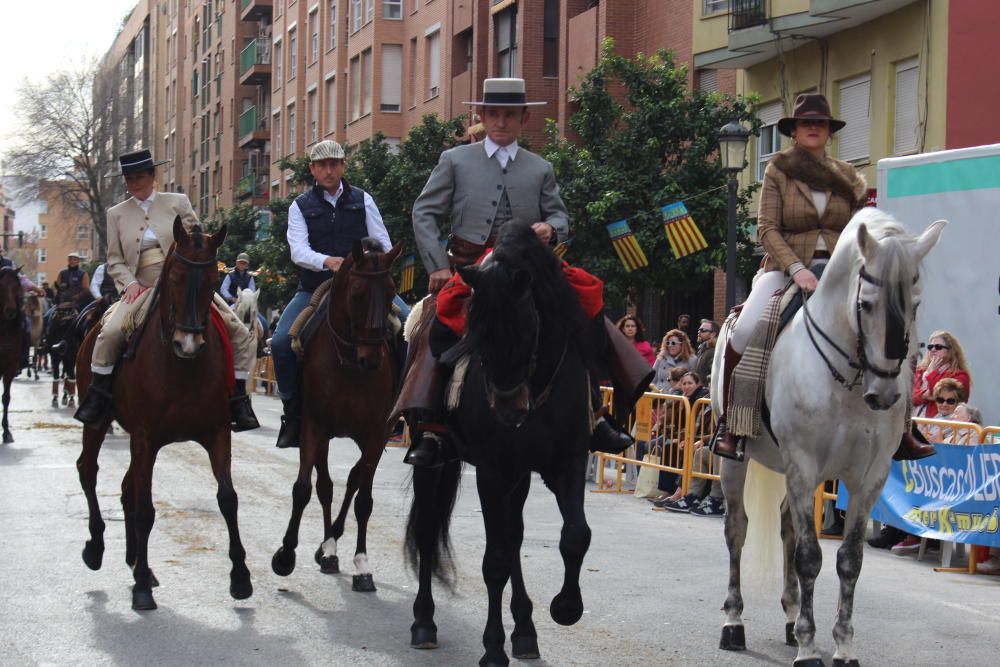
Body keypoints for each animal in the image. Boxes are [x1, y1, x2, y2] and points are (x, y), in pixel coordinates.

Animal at [74, 219, 252, 612]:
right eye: (175, 276)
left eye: (214, 281)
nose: (189, 343)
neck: (181, 366)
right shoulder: (146, 439)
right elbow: (146, 510)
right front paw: (141, 586)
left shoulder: (217, 433)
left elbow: (228, 499)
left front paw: (240, 577)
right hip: (99, 423)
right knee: (88, 471)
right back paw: (97, 548)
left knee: (127, 488)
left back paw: (135, 562)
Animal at [274, 237, 402, 592]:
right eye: (357, 293)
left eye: (391, 291)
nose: (371, 359)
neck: (347, 361)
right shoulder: (314, 427)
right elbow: (305, 489)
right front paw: (285, 555)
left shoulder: (375, 434)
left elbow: (364, 500)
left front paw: (362, 566)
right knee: (327, 486)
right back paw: (327, 550)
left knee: (354, 481)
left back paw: (330, 547)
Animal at [404, 224, 592, 667]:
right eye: (476, 334)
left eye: (528, 329)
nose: (508, 411)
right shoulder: (491, 471)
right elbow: (494, 563)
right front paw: (492, 648)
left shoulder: (567, 461)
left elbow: (575, 534)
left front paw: (566, 607)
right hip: (431, 460)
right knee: (428, 529)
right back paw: (424, 622)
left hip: (518, 476)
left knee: (514, 536)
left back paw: (524, 631)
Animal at [712, 210, 944, 667]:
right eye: (866, 304)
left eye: (915, 305)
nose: (884, 394)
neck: (850, 380)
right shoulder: (803, 465)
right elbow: (810, 556)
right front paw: (808, 648)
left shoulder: (868, 478)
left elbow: (849, 560)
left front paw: (842, 646)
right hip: (736, 462)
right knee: (737, 529)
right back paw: (734, 622)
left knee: (785, 524)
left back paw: (788, 617)